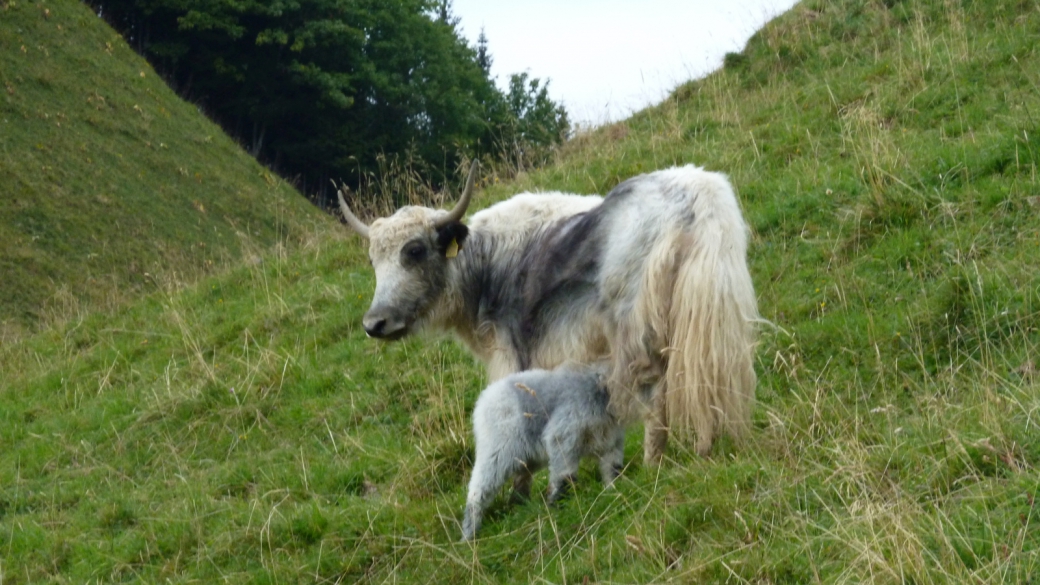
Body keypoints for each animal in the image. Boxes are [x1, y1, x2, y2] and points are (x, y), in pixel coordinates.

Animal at [463, 364, 624, 537]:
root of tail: (483, 398)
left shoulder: (612, 441)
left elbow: (613, 468)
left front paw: (614, 491)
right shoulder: (563, 435)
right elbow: (563, 476)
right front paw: (556, 508)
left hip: (527, 456)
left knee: (521, 480)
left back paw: (520, 508)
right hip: (497, 449)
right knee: (478, 490)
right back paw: (469, 535)